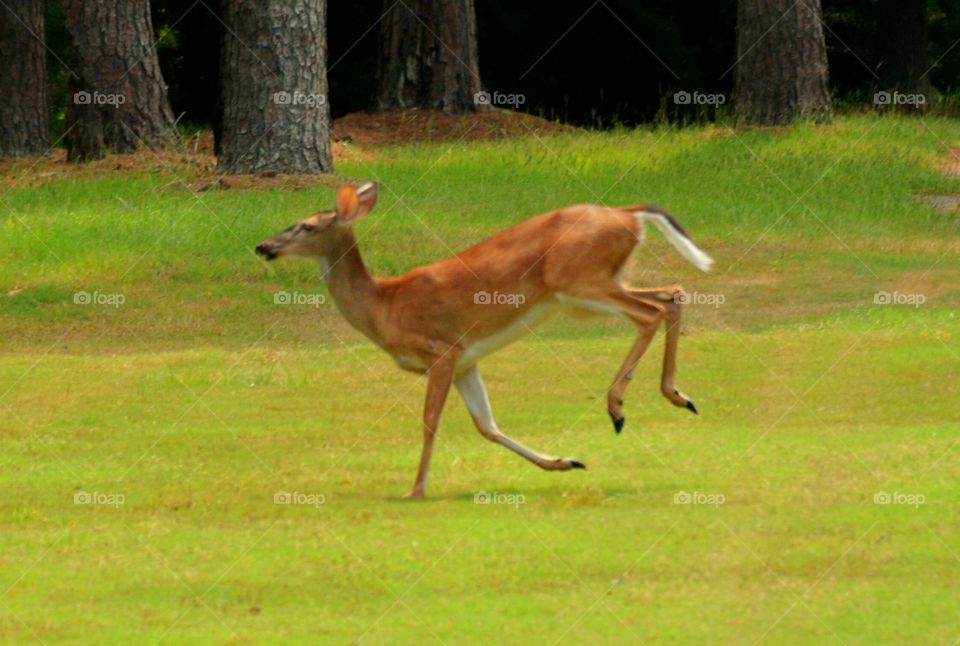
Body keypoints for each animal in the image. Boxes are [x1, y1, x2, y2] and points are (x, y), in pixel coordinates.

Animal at [255, 182, 712, 502]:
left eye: (307, 225)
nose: (263, 246)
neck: (385, 305)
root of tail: (626, 213)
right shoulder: (465, 362)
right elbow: (487, 426)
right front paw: (565, 461)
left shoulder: (441, 349)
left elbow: (430, 421)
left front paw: (415, 489)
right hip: (596, 284)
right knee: (672, 293)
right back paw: (679, 396)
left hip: (578, 282)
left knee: (649, 312)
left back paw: (618, 406)